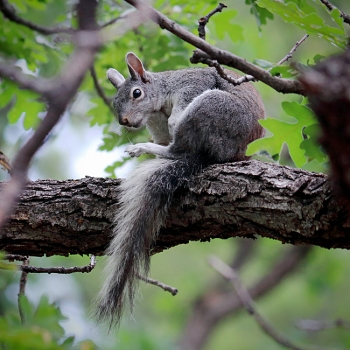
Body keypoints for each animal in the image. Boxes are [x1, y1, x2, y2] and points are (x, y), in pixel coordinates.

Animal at [95, 52, 266, 328]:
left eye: (136, 93)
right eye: (114, 101)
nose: (125, 121)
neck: (159, 108)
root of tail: (228, 154)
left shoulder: (193, 84)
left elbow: (177, 119)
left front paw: (167, 129)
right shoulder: (159, 128)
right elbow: (166, 141)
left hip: (213, 106)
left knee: (178, 150)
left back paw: (144, 147)